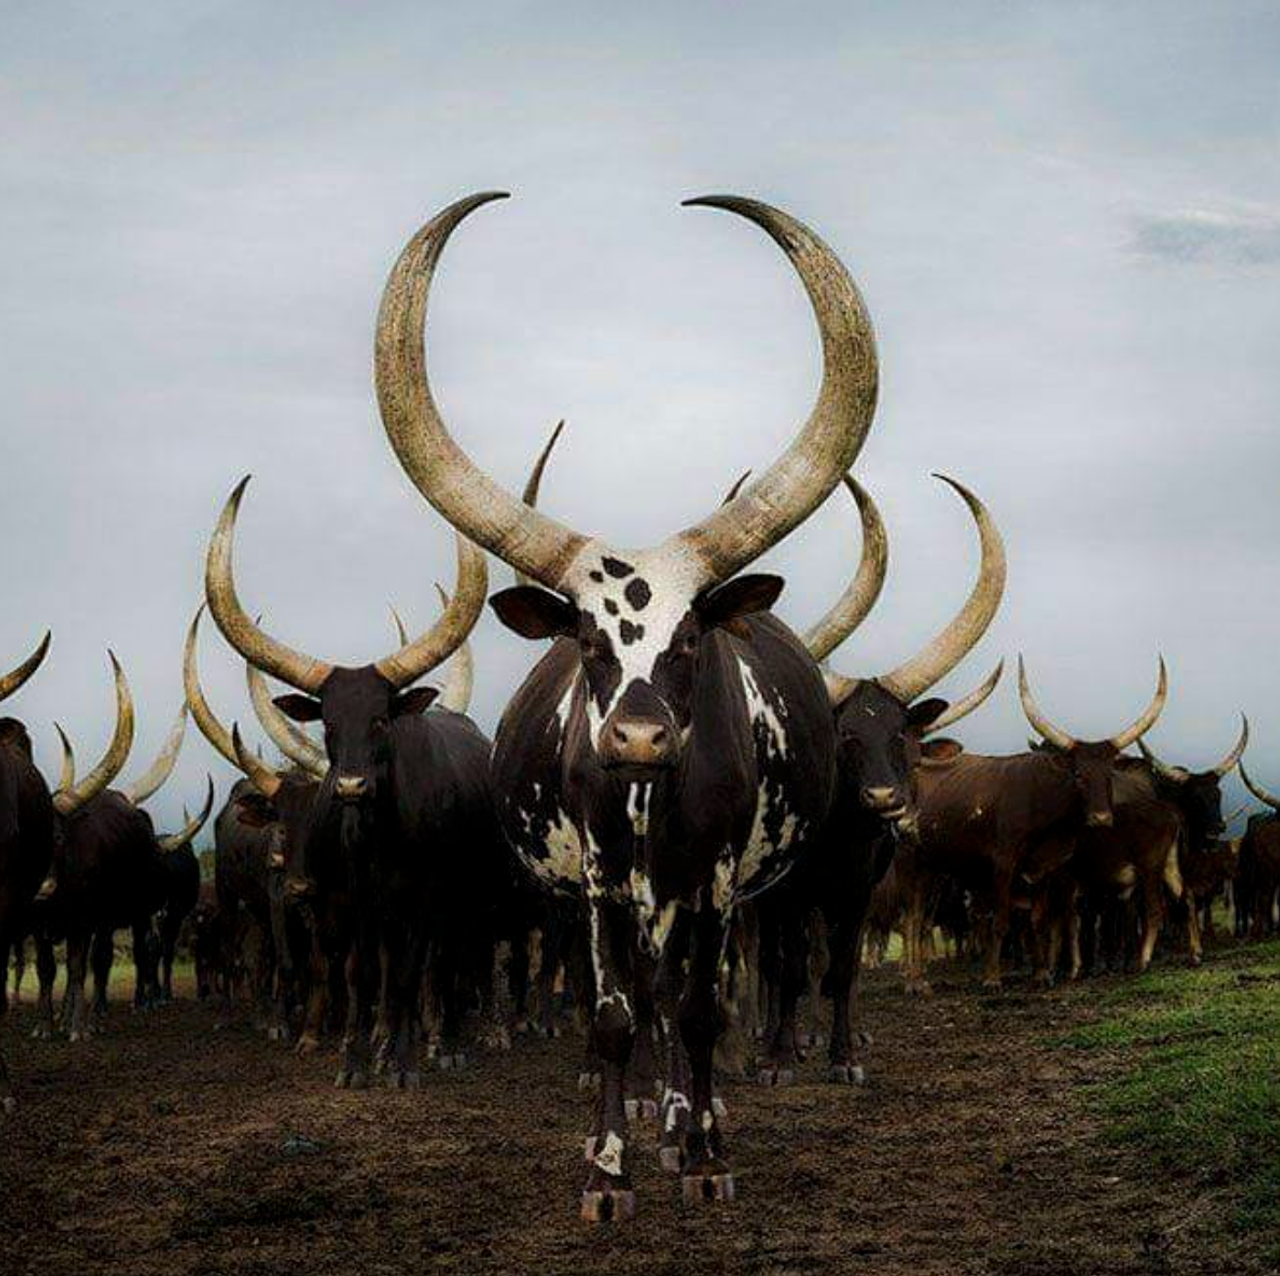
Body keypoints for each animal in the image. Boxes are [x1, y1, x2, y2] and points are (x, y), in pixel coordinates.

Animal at [373, 191, 878, 1217]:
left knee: (685, 1001)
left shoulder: (716, 883)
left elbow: (702, 1010)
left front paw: (708, 1153)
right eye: (588, 641)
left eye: (691, 640)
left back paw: (687, 1123)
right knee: (645, 1001)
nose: (639, 739)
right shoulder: (602, 888)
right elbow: (612, 1016)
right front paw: (606, 1169)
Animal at [907, 656, 1168, 991]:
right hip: (914, 863)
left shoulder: (1045, 866)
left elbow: (1038, 921)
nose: (1101, 819)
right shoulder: (1003, 862)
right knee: (914, 918)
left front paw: (1043, 973)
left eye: (1109, 774)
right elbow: (1000, 921)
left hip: (938, 867)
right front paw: (992, 978)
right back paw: (915, 981)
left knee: (923, 920)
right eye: (1078, 775)